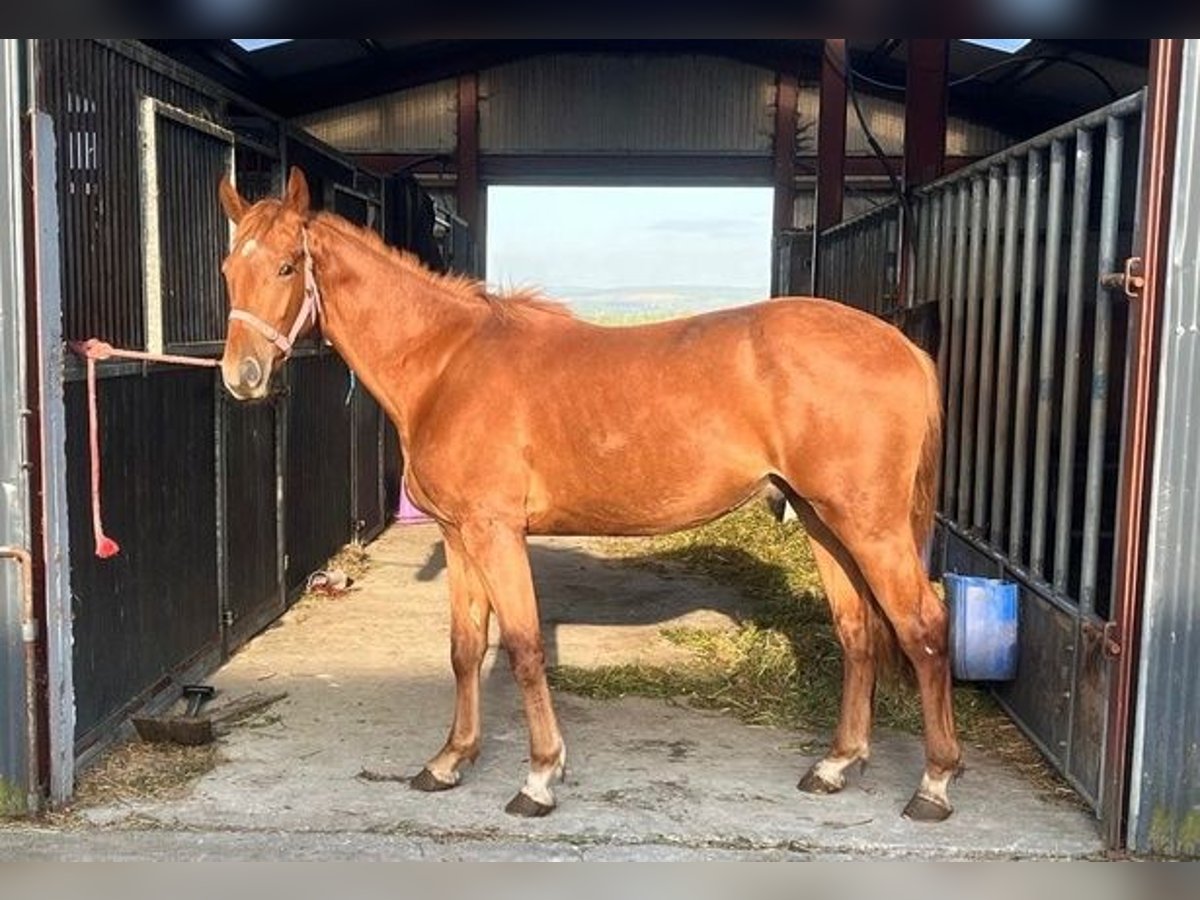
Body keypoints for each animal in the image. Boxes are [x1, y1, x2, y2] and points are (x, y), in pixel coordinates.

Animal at [218, 169, 964, 825]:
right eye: (229, 270)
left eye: (287, 266)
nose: (240, 377)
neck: (447, 363)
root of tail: (900, 345)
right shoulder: (460, 535)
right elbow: (465, 646)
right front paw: (449, 762)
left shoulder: (495, 532)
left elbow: (522, 647)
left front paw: (539, 778)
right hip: (822, 520)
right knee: (858, 631)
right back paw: (836, 765)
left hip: (870, 525)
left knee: (925, 628)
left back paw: (933, 784)